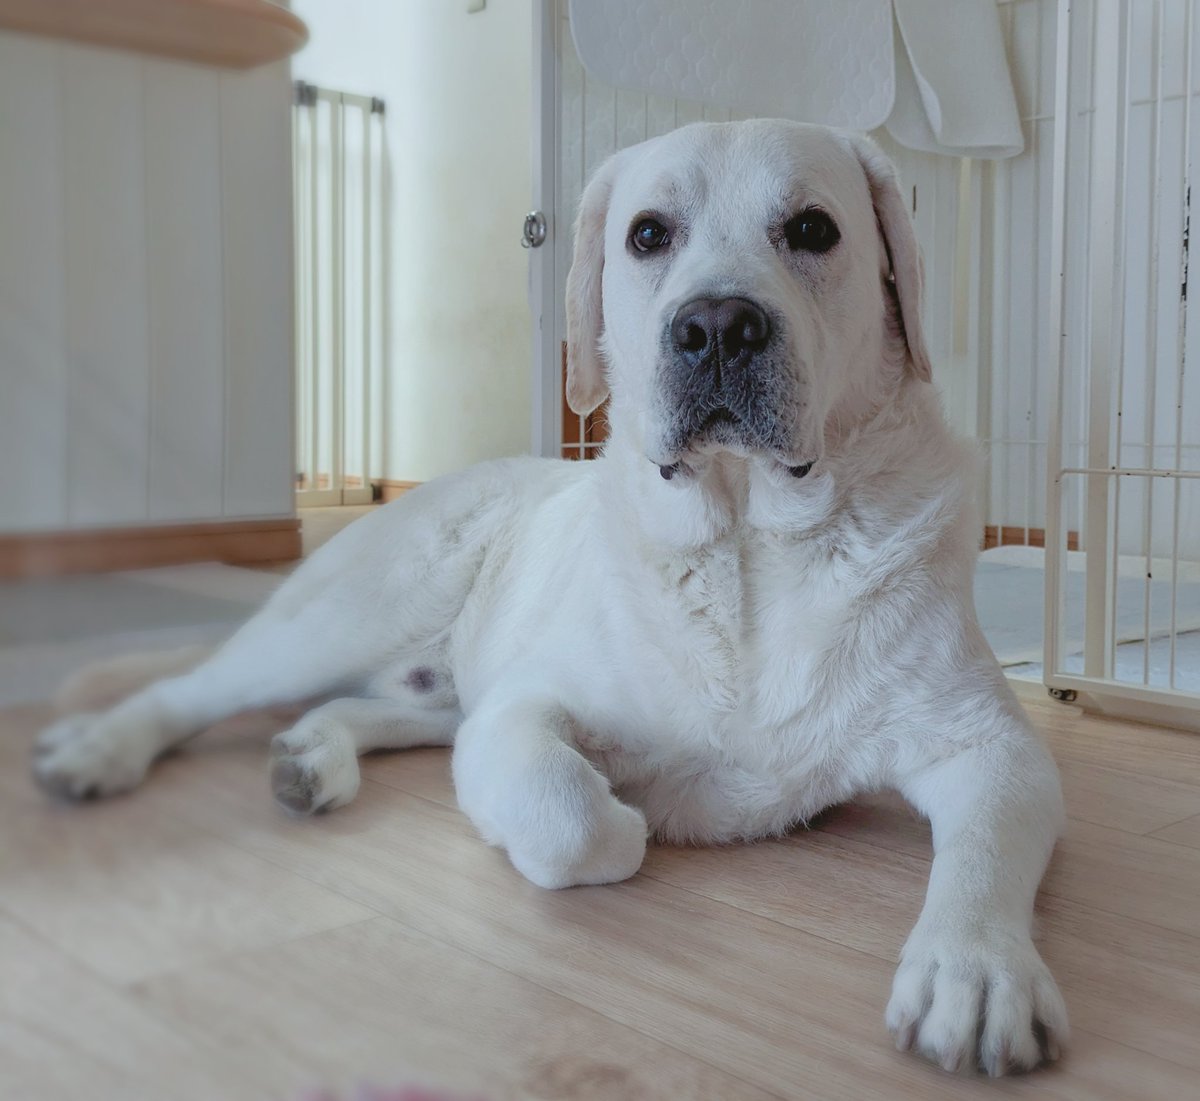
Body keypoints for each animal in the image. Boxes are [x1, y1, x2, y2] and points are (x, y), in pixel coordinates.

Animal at [32, 120, 1070, 1079]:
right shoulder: (523, 709)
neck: (745, 544)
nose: (716, 325)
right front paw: (625, 815)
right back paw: (97, 749)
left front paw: (974, 972)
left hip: (429, 687)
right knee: (191, 689)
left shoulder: (989, 745)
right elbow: (569, 814)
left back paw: (310, 757)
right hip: (349, 613)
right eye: (648, 234)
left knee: (368, 709)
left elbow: (982, 854)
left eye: (814, 228)